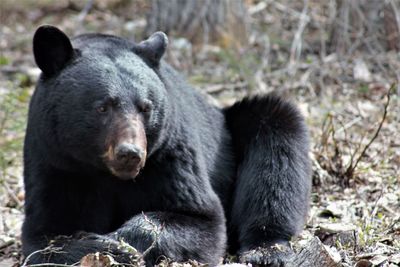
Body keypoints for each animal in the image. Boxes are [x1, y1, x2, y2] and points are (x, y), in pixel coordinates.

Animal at [22, 25, 312, 267]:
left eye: (146, 107)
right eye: (102, 107)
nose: (130, 154)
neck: (106, 174)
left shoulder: (169, 154)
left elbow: (199, 216)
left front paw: (123, 244)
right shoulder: (56, 162)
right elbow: (43, 237)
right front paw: (105, 247)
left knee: (277, 154)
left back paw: (266, 250)